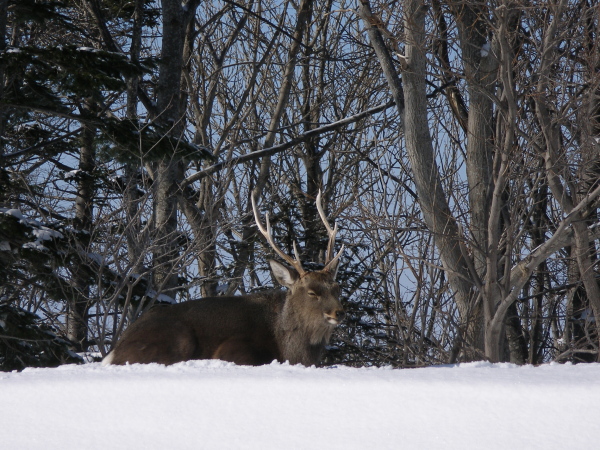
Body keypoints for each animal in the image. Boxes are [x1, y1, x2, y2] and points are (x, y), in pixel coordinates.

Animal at [103, 192, 344, 368]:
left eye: (337, 288)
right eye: (312, 292)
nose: (338, 312)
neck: (290, 349)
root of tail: (115, 350)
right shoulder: (235, 348)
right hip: (178, 338)